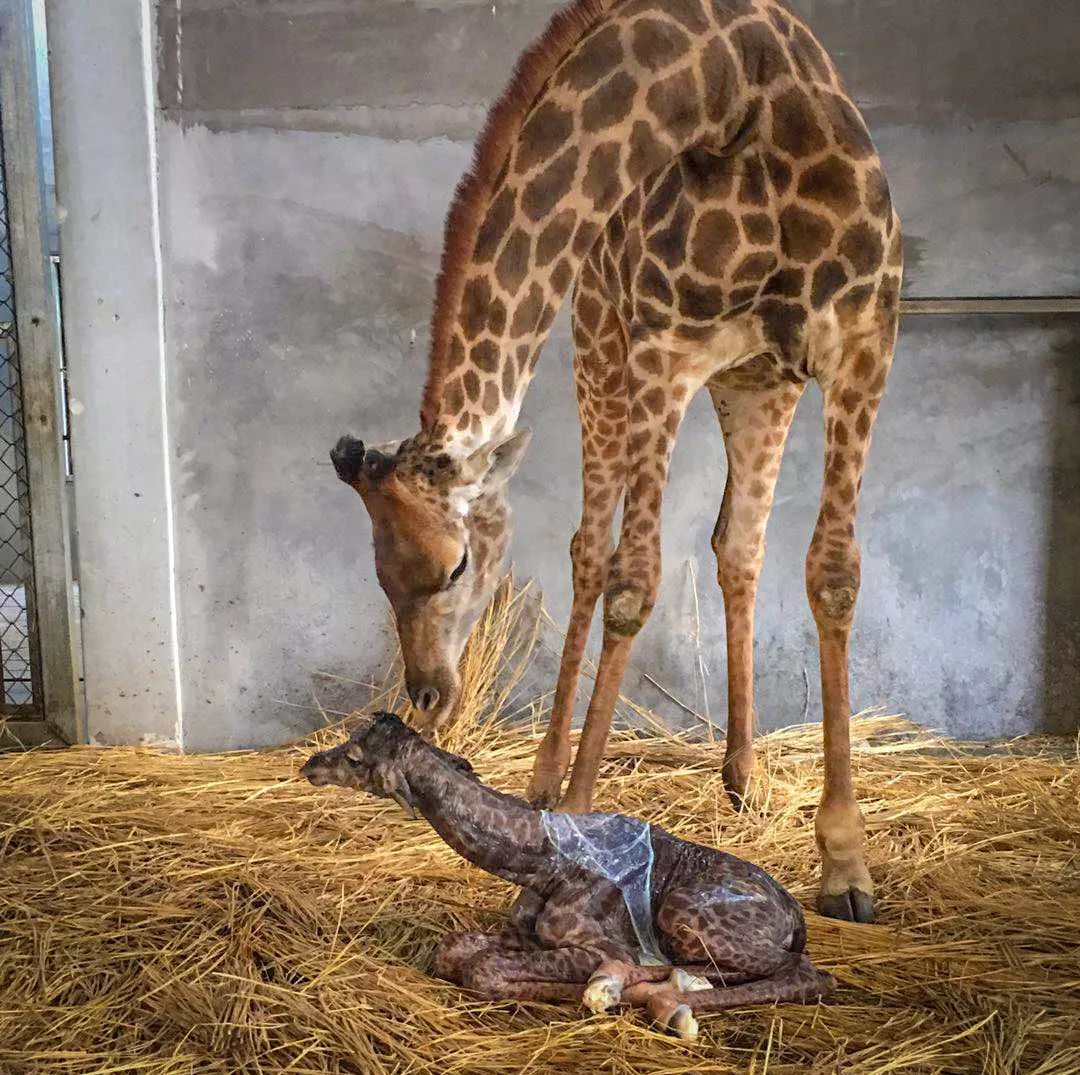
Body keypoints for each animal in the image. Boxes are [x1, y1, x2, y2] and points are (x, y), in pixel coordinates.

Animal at [304, 713, 833, 1041]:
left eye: (354, 756)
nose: (309, 765)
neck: (542, 863)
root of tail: (795, 915)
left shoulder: (597, 945)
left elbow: (483, 969)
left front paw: (598, 993)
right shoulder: (530, 933)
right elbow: (454, 950)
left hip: (681, 911)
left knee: (809, 973)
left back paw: (648, 997)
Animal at [330, 0, 902, 924]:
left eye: (454, 568)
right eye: (380, 574)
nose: (428, 693)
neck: (736, 90)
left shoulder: (862, 336)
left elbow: (834, 573)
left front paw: (846, 862)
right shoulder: (666, 347)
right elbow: (633, 580)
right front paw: (575, 813)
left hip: (755, 381)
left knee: (737, 542)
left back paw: (742, 775)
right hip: (604, 344)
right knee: (592, 552)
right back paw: (548, 778)